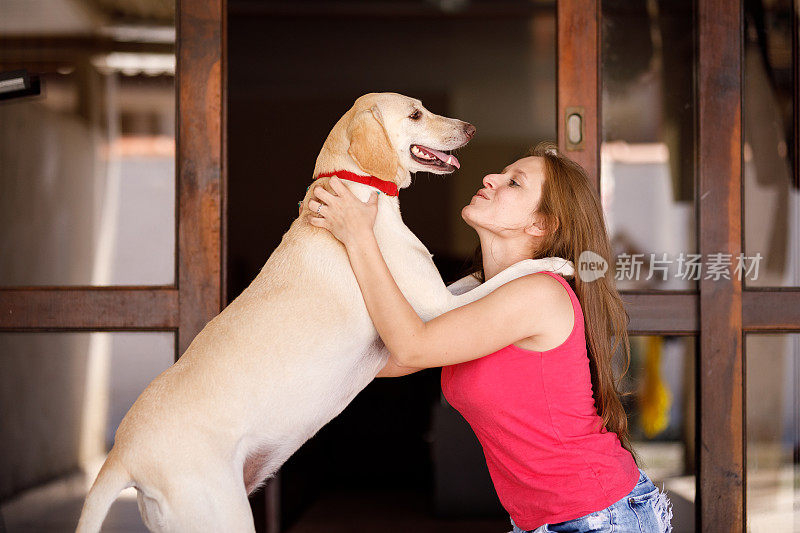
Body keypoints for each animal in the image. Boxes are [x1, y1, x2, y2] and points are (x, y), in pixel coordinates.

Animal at [76, 93, 576, 528]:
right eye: (416, 114)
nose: (471, 128)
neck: (360, 190)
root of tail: (123, 452)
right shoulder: (435, 310)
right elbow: (507, 276)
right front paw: (557, 262)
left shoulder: (439, 297)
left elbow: (478, 276)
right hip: (221, 514)